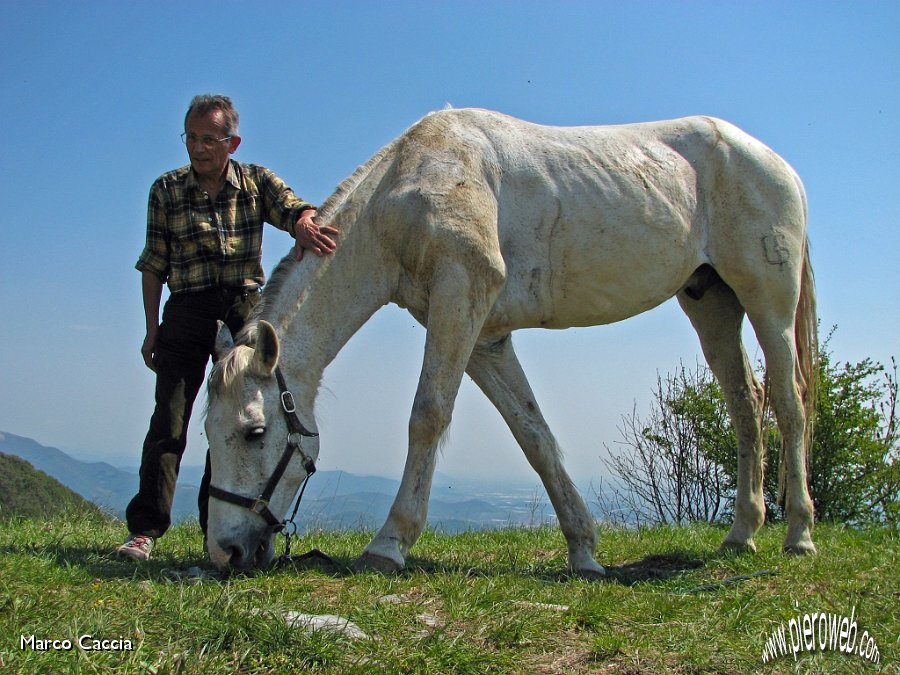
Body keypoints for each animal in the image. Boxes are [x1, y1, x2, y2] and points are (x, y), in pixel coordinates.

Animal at [204, 109, 816, 576]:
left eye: (255, 432)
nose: (226, 551)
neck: (405, 190)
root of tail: (777, 163)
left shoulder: (461, 297)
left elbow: (428, 415)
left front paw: (389, 544)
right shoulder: (485, 339)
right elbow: (534, 436)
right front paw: (584, 552)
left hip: (768, 299)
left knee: (788, 403)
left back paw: (799, 536)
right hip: (711, 303)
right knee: (745, 404)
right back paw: (742, 534)